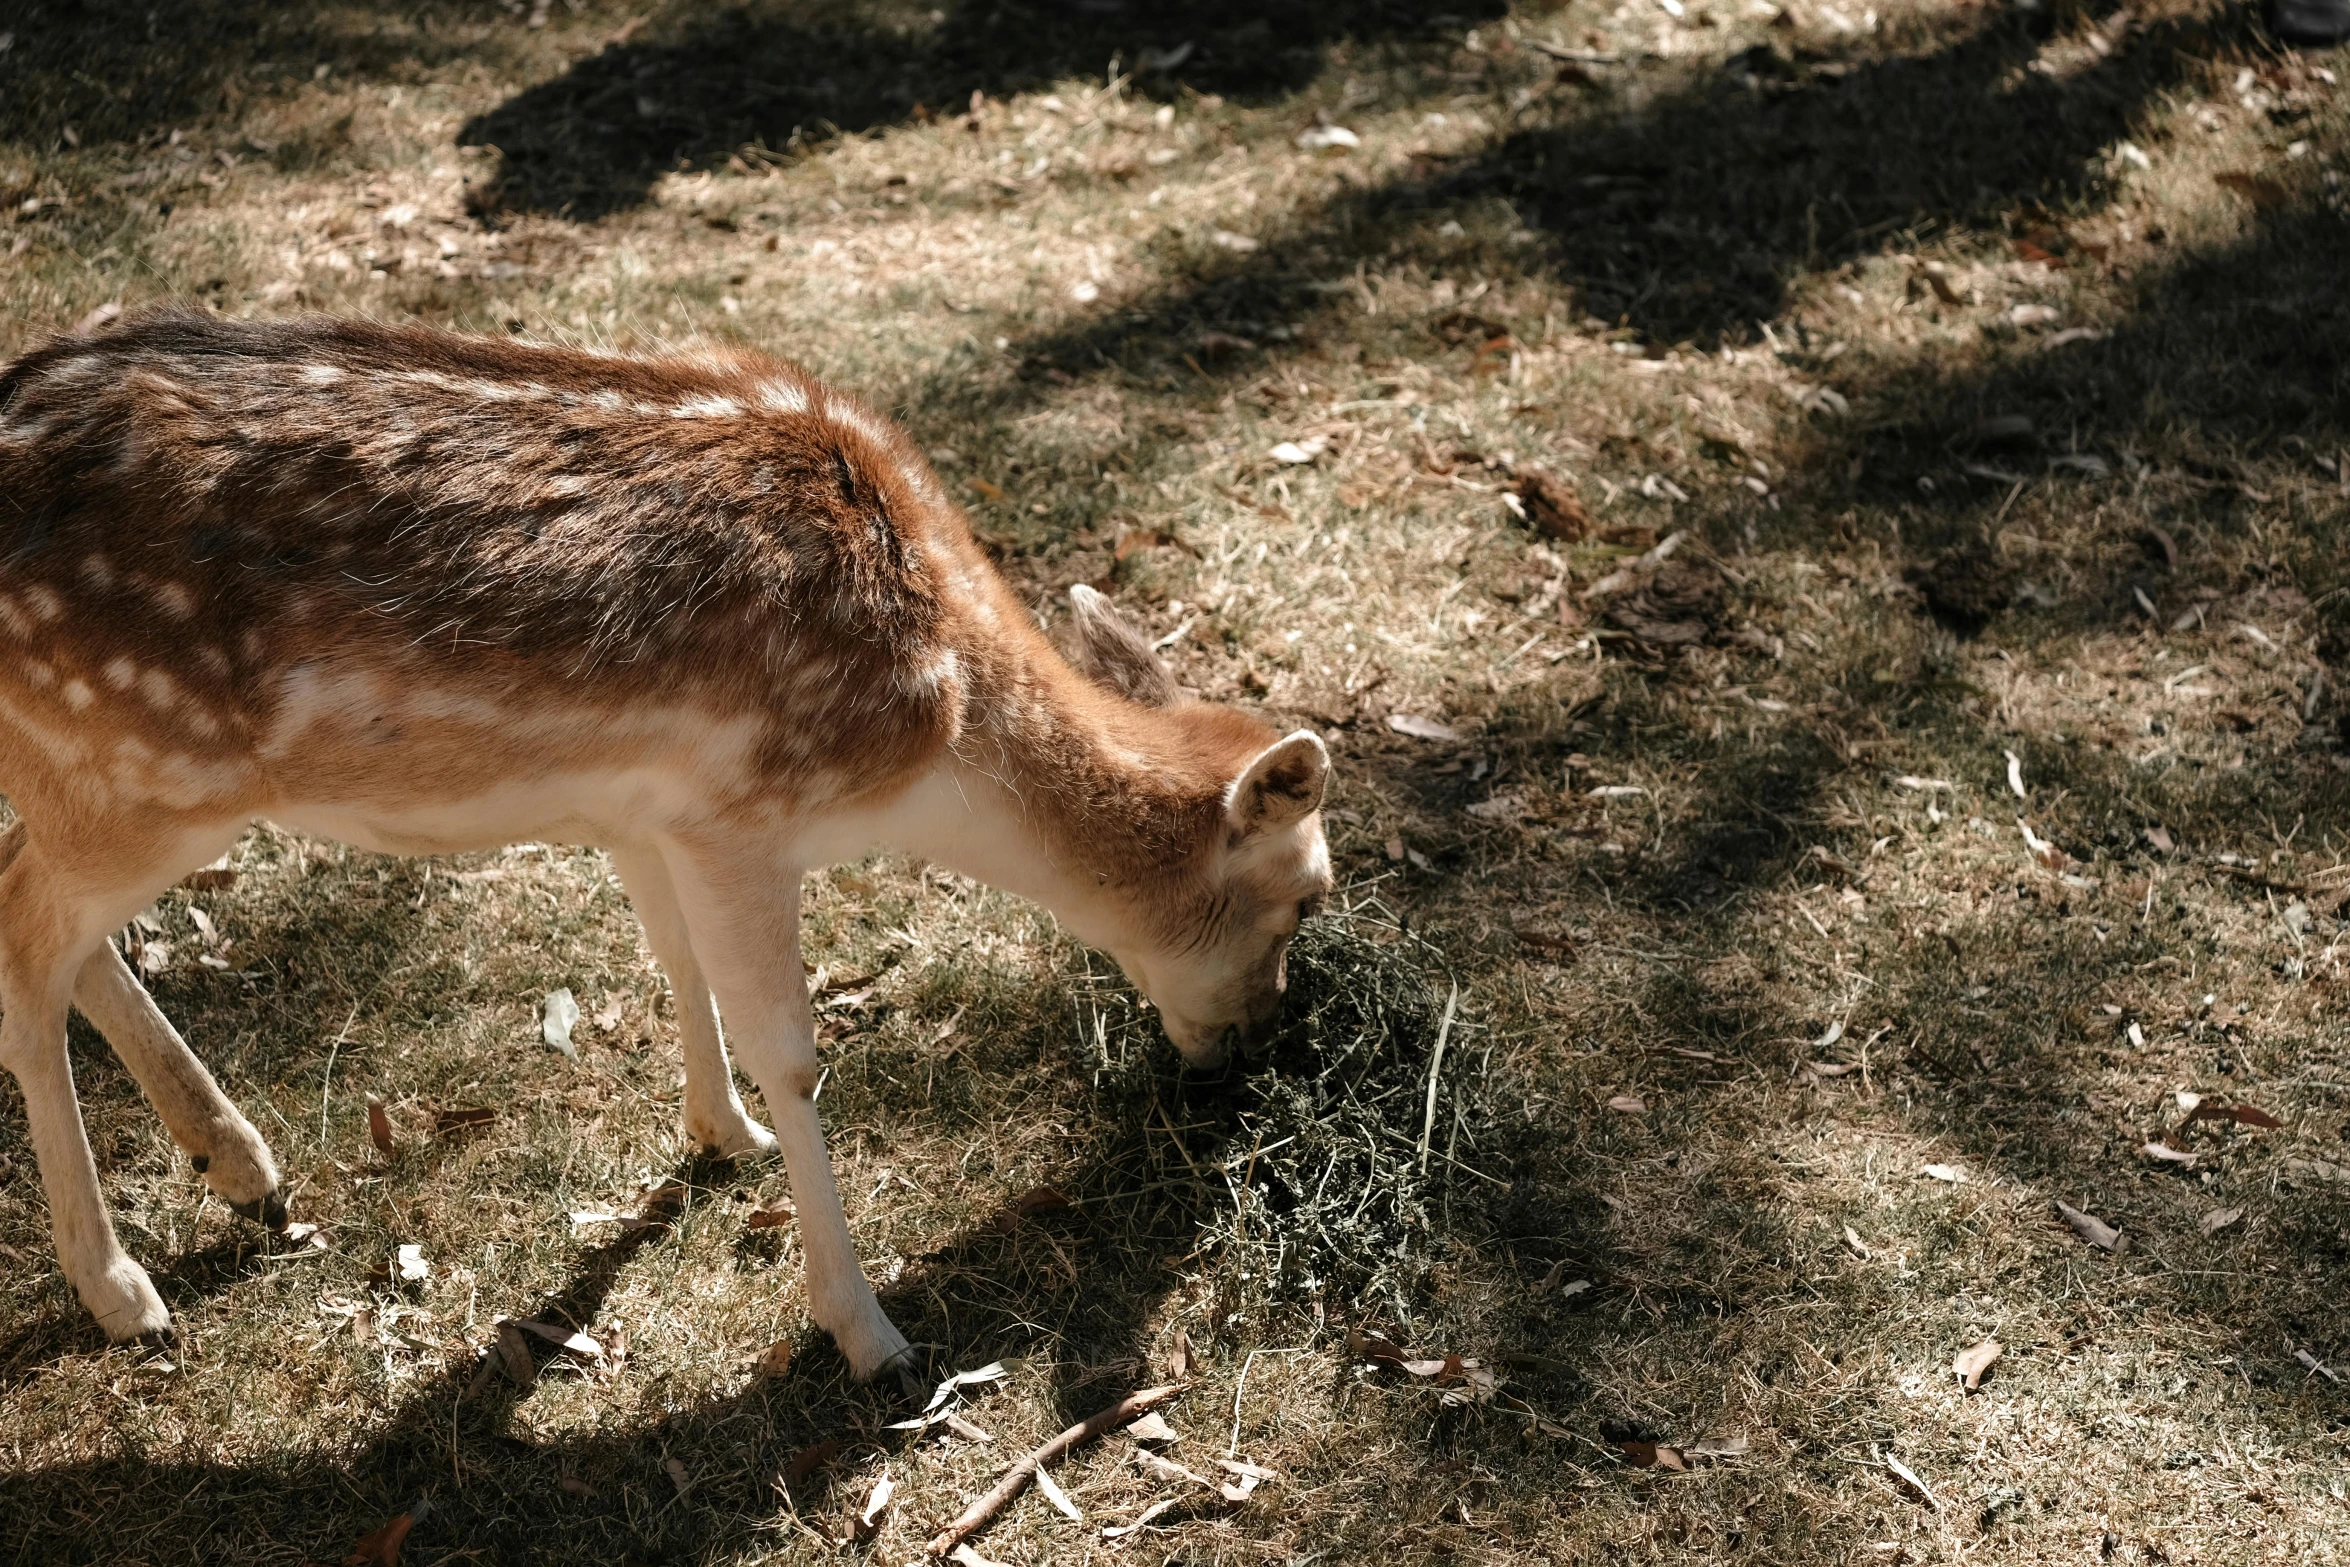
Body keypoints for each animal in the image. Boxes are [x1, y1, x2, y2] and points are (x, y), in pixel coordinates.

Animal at [0, 310, 1334, 1381]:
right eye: (1309, 896)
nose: (1261, 1039)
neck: (933, 732)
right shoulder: (743, 811)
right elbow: (793, 1050)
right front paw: (868, 1332)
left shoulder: (649, 813)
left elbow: (673, 959)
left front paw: (719, 1133)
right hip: (147, 768)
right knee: (26, 939)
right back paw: (124, 1292)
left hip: (83, 771)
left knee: (67, 934)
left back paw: (237, 1160)